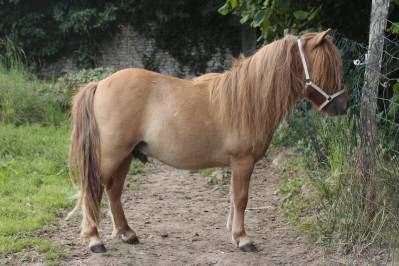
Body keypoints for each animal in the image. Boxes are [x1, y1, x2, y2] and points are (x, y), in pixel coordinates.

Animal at [70, 29, 348, 254]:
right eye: (328, 66)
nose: (342, 106)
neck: (248, 98)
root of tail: (101, 84)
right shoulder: (243, 162)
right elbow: (241, 198)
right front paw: (243, 239)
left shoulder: (238, 164)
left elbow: (234, 198)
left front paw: (236, 236)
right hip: (111, 156)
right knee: (93, 190)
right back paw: (95, 241)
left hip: (126, 156)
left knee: (114, 192)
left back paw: (128, 234)